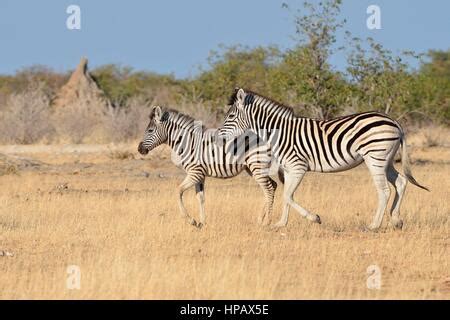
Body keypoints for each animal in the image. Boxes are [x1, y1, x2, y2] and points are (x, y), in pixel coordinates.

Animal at [139, 105, 284, 228]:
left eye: (150, 130)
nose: (139, 149)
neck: (188, 143)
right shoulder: (200, 175)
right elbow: (201, 197)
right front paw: (202, 223)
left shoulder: (194, 173)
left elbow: (178, 191)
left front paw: (191, 220)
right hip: (252, 168)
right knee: (272, 186)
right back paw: (260, 220)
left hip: (257, 166)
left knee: (269, 189)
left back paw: (266, 221)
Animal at [218, 89, 428, 231]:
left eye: (230, 116)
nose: (219, 136)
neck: (280, 134)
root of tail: (394, 122)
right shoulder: (288, 169)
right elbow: (286, 196)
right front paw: (281, 223)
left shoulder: (298, 166)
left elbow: (288, 196)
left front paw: (315, 218)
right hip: (387, 159)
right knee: (401, 182)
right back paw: (396, 220)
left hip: (375, 157)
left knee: (384, 190)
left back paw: (374, 225)